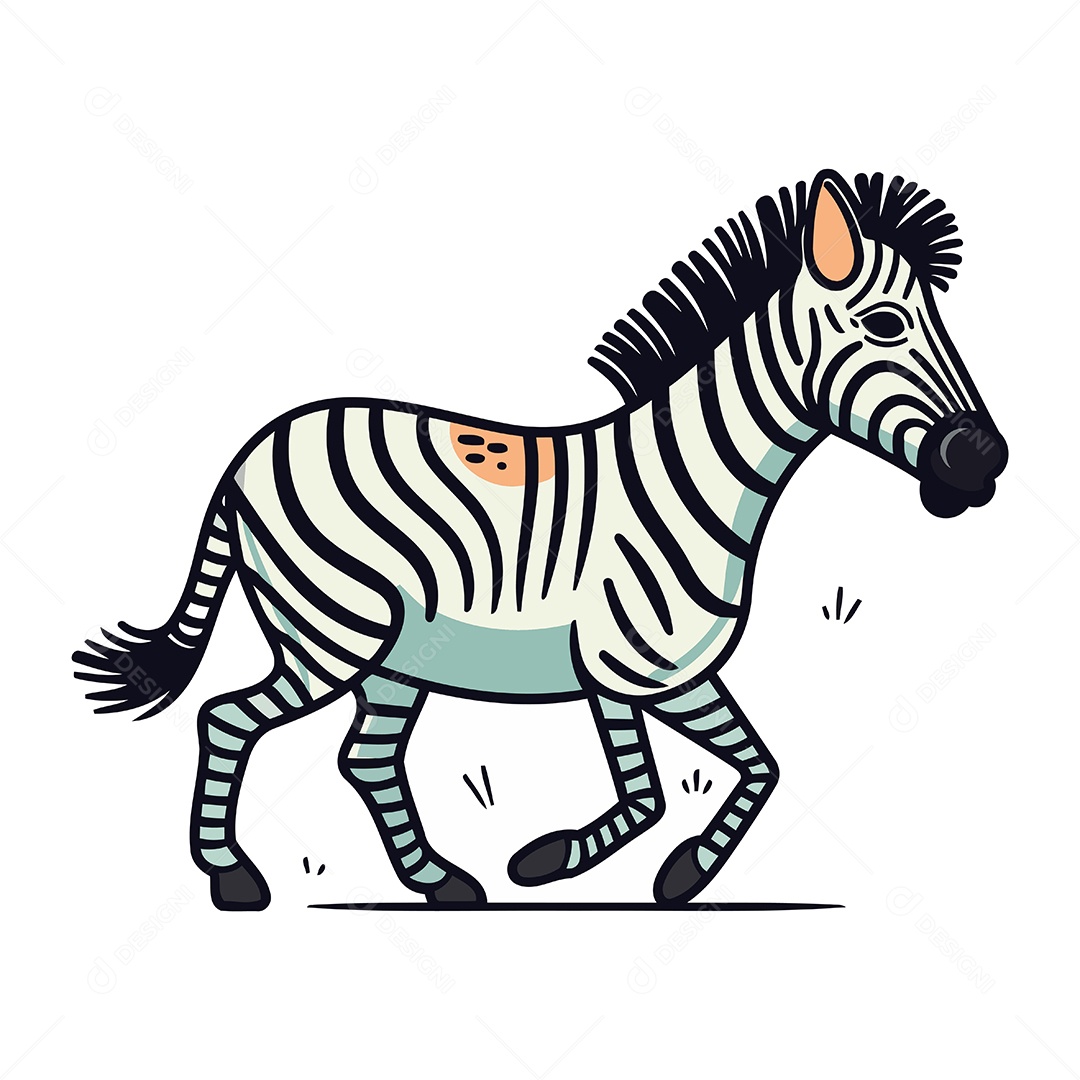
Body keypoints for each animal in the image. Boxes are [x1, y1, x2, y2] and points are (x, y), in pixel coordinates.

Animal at [73, 169, 1007, 910]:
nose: (985, 460)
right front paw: (557, 860)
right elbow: (660, 789)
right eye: (885, 326)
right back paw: (234, 876)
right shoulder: (623, 668)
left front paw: (666, 874)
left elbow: (748, 769)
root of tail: (251, 451)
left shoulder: (665, 673)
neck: (698, 475)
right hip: (334, 630)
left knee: (364, 758)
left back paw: (441, 881)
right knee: (227, 717)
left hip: (394, 658)